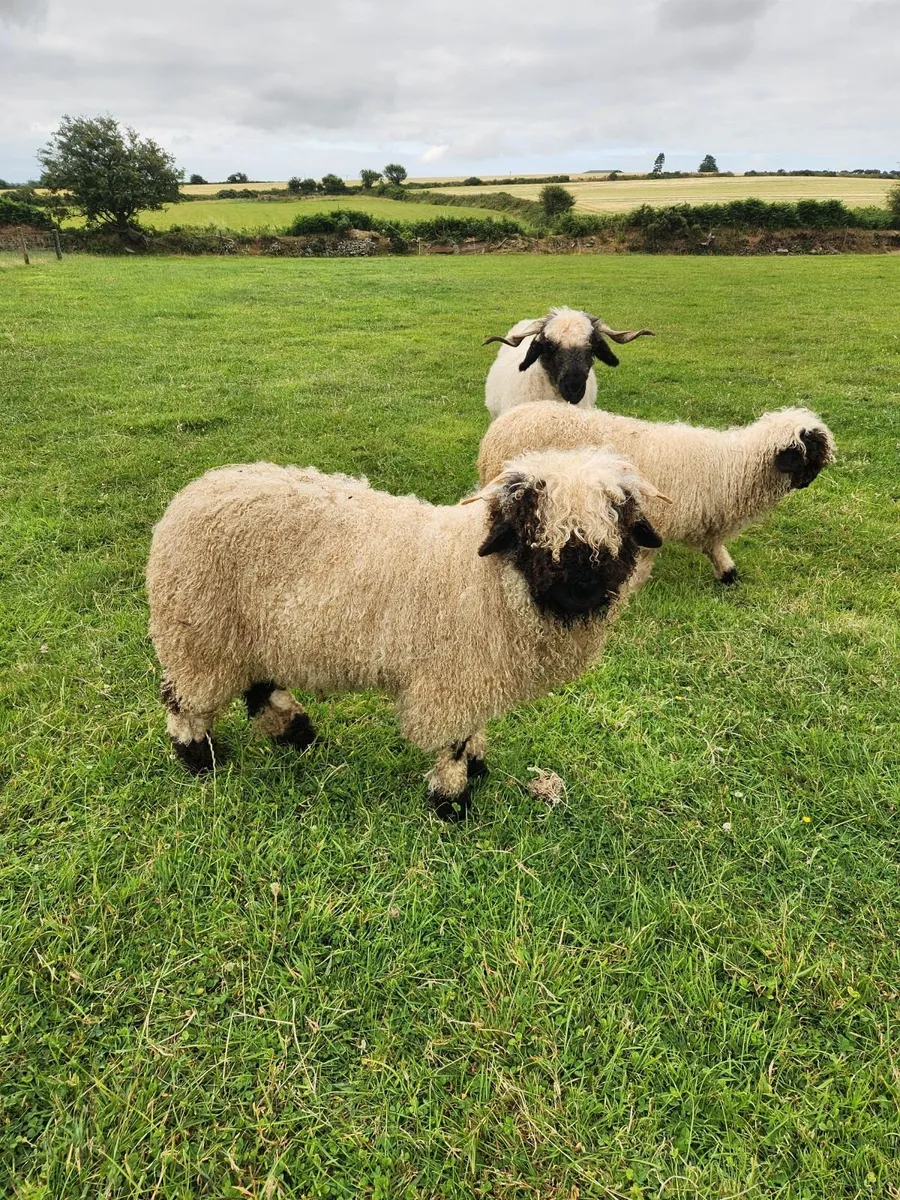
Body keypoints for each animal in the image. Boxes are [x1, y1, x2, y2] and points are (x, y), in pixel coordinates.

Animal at [147, 451, 665, 820]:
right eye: (532, 529)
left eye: (619, 527)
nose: (584, 589)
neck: (488, 579)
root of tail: (190, 495)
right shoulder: (452, 679)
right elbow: (453, 742)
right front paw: (452, 802)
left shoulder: (476, 672)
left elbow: (473, 731)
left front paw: (478, 766)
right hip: (200, 634)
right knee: (185, 700)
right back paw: (200, 758)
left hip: (250, 634)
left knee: (259, 687)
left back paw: (297, 733)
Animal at [477, 403, 835, 586]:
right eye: (806, 455)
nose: (807, 483)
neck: (730, 467)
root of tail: (505, 419)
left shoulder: (708, 517)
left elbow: (714, 547)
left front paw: (728, 574)